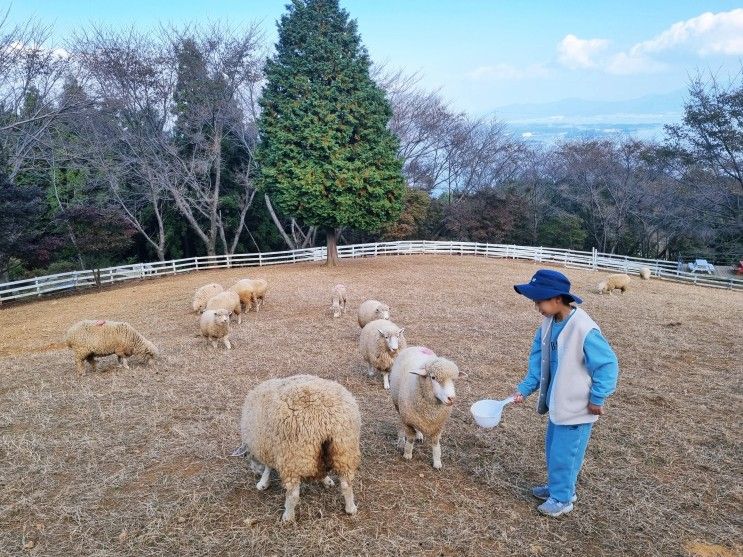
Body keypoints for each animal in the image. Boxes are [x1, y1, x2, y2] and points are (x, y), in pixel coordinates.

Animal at [231, 374, 362, 520]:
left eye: (246, 456)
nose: (255, 473)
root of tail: (324, 420)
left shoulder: (268, 446)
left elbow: (268, 467)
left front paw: (262, 482)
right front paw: (326, 480)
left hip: (294, 456)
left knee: (293, 493)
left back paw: (288, 516)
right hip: (344, 448)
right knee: (346, 483)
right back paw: (351, 508)